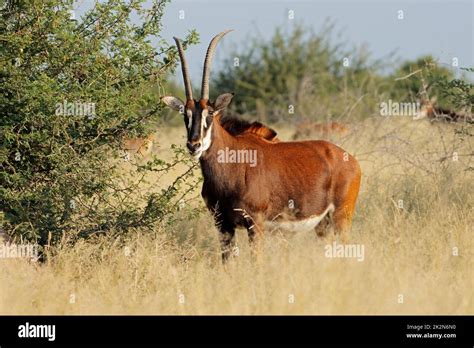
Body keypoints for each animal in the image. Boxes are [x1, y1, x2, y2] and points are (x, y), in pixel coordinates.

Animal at [161, 30, 362, 260]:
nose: (194, 145)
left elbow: (257, 262)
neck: (232, 165)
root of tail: (351, 160)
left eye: (209, 113)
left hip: (341, 217)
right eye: (184, 114)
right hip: (322, 224)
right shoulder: (222, 224)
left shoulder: (255, 223)